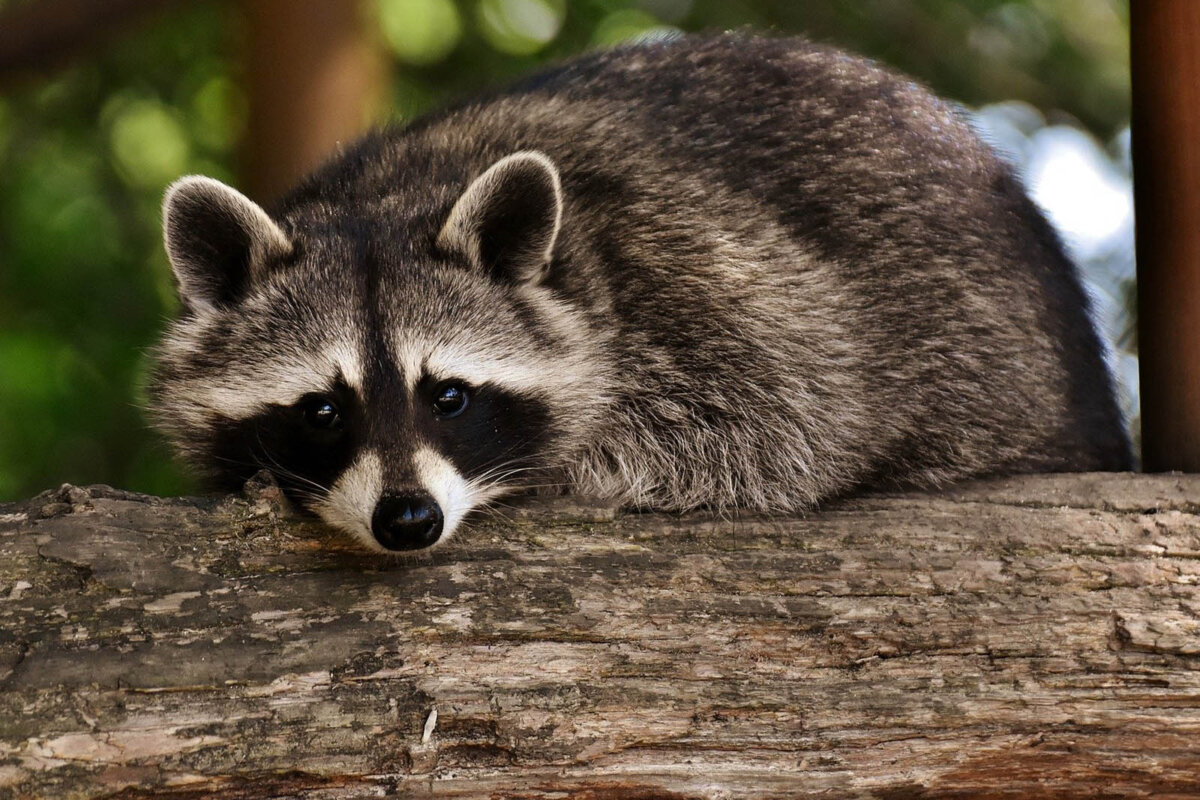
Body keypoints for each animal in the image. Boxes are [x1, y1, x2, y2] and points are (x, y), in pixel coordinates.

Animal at [145, 34, 1128, 554]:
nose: (409, 521)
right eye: (320, 409)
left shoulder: (710, 281)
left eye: (449, 396)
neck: (389, 197)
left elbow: (789, 425)